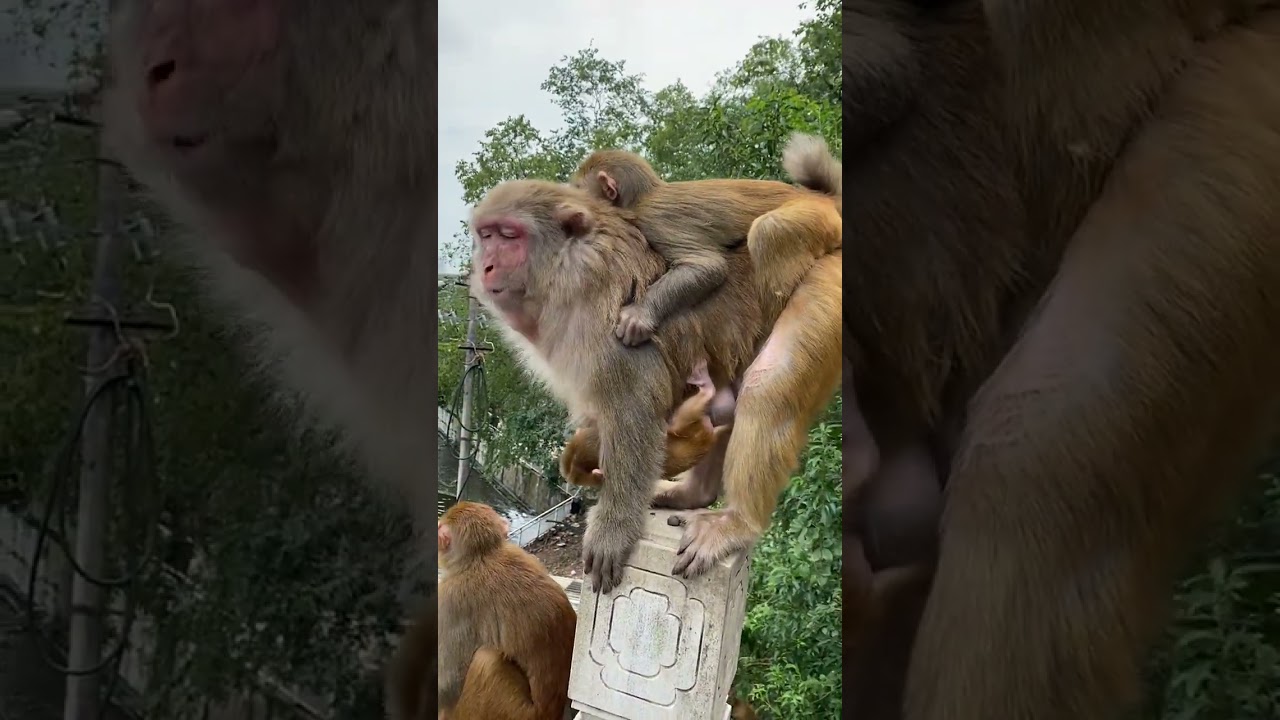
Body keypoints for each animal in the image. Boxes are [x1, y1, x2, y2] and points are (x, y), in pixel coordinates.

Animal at [569, 134, 841, 347]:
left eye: (580, 189)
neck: (640, 200)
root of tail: (823, 197)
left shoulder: (656, 222)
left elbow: (707, 266)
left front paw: (639, 314)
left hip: (819, 217)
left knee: (768, 231)